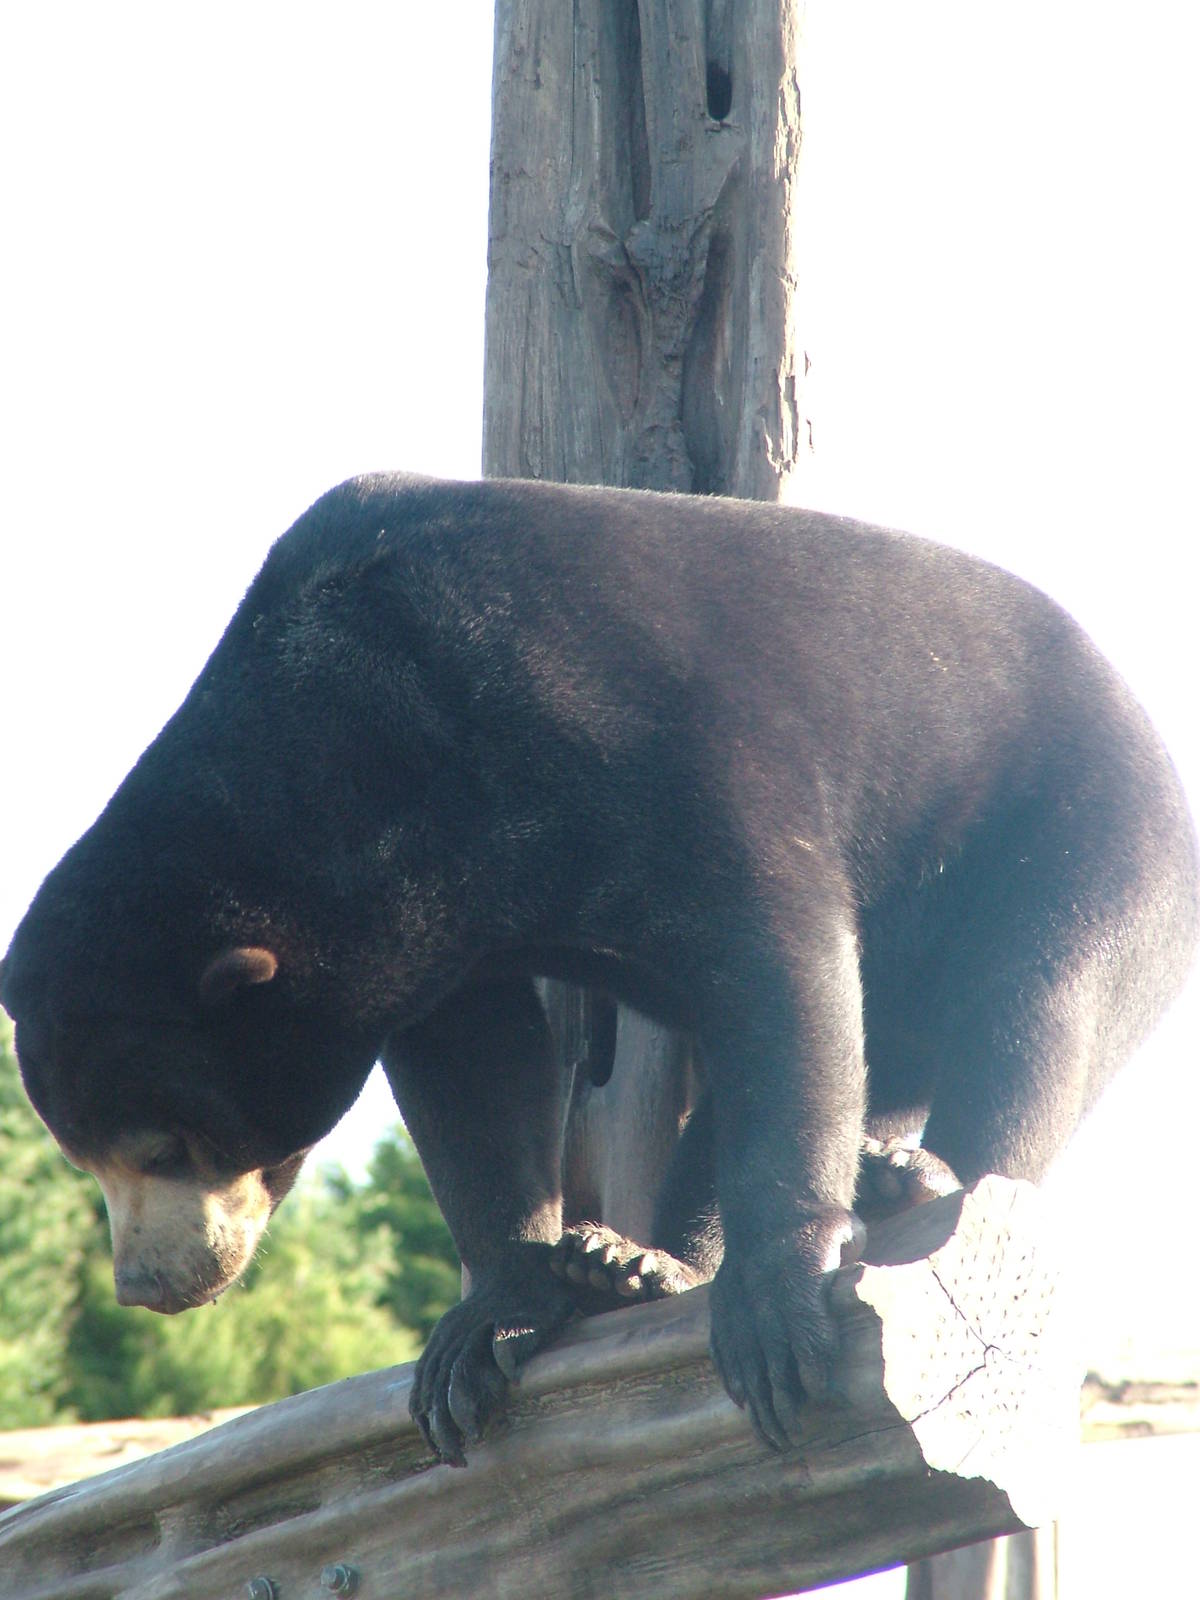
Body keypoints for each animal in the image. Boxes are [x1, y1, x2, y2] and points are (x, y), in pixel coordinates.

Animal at [2, 473, 1196, 1463]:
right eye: (80, 1153)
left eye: (165, 1145)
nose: (147, 1284)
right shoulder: (436, 916)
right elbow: (477, 1070)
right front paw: (489, 1322)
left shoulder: (670, 740)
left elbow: (782, 962)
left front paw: (775, 1312)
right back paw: (631, 1262)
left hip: (1089, 843)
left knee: (1033, 1016)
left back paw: (921, 1180)